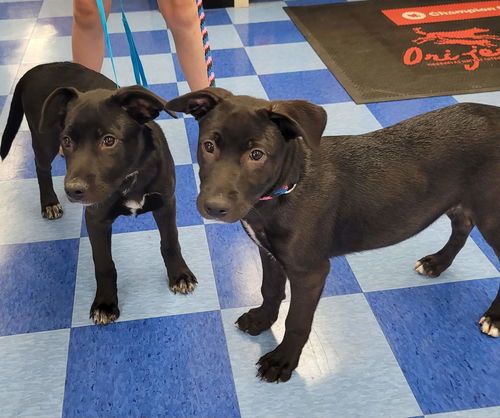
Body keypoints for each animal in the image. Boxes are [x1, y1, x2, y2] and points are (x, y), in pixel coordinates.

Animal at [0, 63, 196, 326]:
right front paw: (105, 303)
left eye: (109, 140)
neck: (130, 176)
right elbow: (104, 264)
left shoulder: (166, 203)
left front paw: (179, 275)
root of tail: (36, 69)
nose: (73, 190)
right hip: (44, 139)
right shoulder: (96, 219)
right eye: (67, 140)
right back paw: (49, 202)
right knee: (41, 167)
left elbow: (171, 241)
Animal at [168, 87, 500, 382]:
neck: (288, 187)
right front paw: (263, 319)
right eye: (209, 146)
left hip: (492, 215)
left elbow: (297, 320)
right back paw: (437, 262)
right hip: (463, 201)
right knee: (462, 226)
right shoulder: (269, 252)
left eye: (257, 154)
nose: (213, 207)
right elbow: (270, 289)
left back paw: (493, 317)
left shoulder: (310, 272)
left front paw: (282, 361)